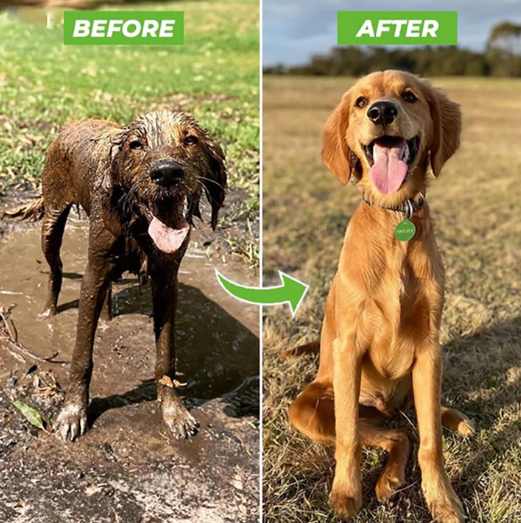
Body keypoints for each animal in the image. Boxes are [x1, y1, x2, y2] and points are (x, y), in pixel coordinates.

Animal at [22, 110, 225, 442]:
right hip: (51, 221)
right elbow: (81, 356)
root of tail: (74, 122)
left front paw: (173, 411)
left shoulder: (166, 281)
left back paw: (106, 320)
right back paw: (48, 312)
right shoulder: (93, 272)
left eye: (190, 139)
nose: (166, 173)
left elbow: (165, 357)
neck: (138, 224)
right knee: (57, 270)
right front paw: (73, 412)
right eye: (136, 145)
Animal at [286, 70, 474, 523]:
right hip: (311, 406)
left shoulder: (429, 348)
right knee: (392, 434)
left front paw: (442, 499)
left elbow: (431, 441)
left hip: (415, 383)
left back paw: (453, 421)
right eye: (360, 102)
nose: (382, 111)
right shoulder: (349, 347)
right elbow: (349, 438)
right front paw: (345, 493)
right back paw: (387, 479)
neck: (394, 221)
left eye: (409, 96)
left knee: (413, 425)